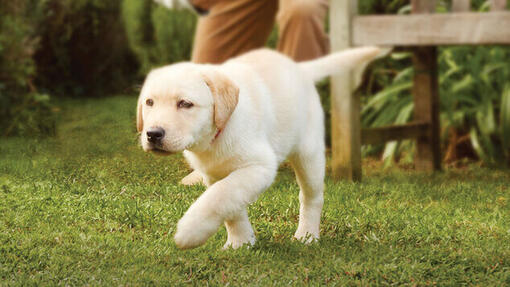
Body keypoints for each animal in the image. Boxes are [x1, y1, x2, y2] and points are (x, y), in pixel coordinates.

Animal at [137, 46, 380, 250]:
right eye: (149, 102)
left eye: (185, 104)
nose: (153, 134)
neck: (218, 133)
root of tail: (300, 69)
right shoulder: (215, 173)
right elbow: (230, 206)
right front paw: (240, 242)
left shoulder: (259, 166)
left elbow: (218, 197)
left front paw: (190, 232)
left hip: (308, 154)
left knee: (312, 197)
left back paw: (307, 234)